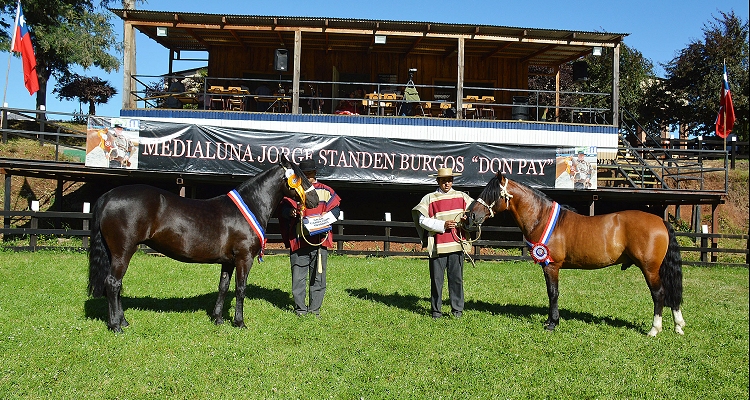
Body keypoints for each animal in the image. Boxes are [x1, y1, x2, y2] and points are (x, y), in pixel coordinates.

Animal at [86, 156, 318, 332]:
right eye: (298, 178)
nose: (315, 200)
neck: (249, 206)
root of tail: (107, 196)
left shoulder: (229, 261)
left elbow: (223, 287)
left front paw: (218, 318)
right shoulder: (244, 258)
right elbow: (240, 289)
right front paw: (239, 322)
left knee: (116, 285)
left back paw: (123, 321)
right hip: (123, 252)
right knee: (113, 283)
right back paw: (116, 326)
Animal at [468, 173, 692, 336]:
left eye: (492, 194)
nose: (472, 215)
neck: (543, 218)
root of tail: (660, 220)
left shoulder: (552, 266)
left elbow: (553, 293)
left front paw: (552, 323)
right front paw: (550, 320)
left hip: (650, 268)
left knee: (659, 294)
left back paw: (654, 329)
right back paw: (678, 326)